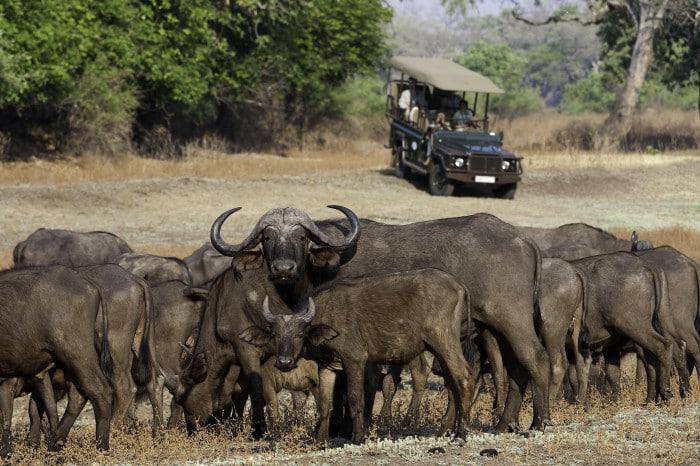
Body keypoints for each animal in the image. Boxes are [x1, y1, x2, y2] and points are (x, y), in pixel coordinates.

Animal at [239, 268, 476, 442]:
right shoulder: (327, 367)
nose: (285, 362)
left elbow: (355, 399)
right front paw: (320, 440)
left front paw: (357, 437)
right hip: (438, 349)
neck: (326, 316)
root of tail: (459, 285)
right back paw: (444, 431)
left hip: (445, 342)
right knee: (452, 384)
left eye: (300, 334)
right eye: (275, 334)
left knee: (464, 378)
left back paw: (461, 433)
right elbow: (325, 404)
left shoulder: (355, 360)